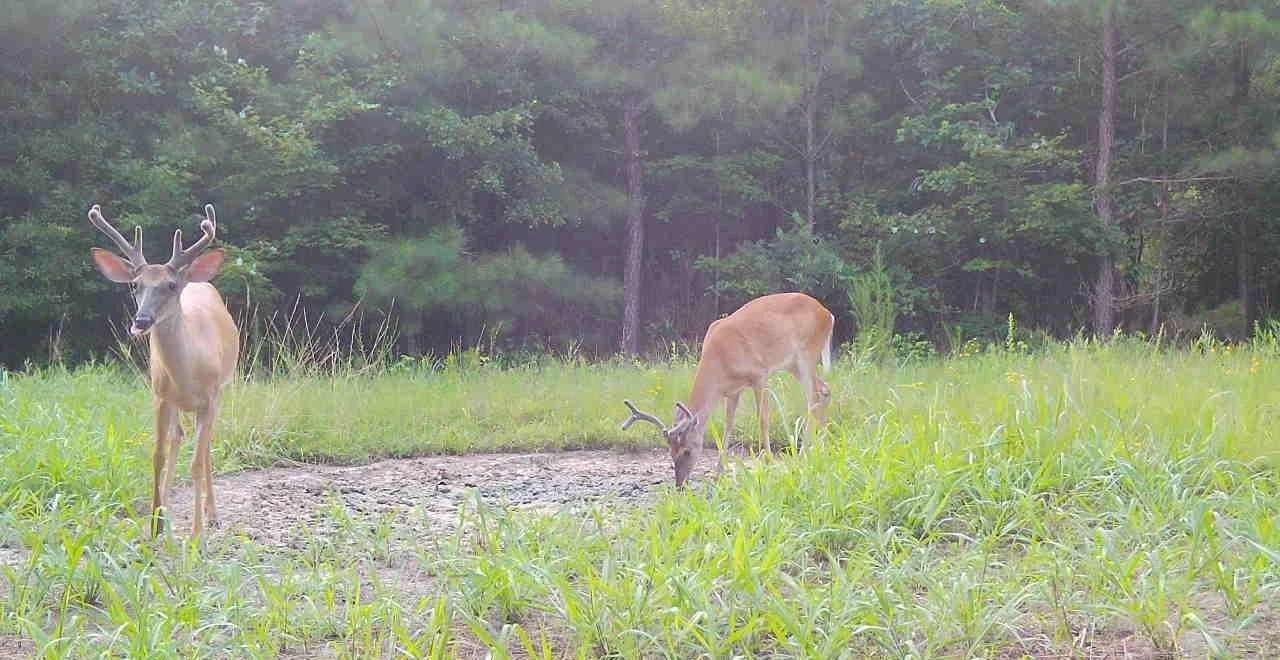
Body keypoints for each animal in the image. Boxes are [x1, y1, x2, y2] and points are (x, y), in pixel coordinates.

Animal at [88, 203, 238, 538]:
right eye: (135, 285)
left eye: (170, 285)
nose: (141, 321)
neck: (188, 374)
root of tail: (198, 279)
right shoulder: (160, 396)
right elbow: (158, 455)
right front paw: (154, 526)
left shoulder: (210, 397)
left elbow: (196, 462)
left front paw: (196, 535)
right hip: (177, 404)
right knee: (177, 438)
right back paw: (167, 508)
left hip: (222, 391)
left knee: (205, 448)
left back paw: (212, 514)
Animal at [621, 292, 835, 488]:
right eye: (671, 452)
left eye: (687, 451)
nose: (680, 485)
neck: (720, 359)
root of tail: (828, 314)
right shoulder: (732, 390)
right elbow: (728, 424)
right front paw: (718, 473)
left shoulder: (759, 375)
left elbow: (762, 419)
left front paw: (769, 463)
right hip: (793, 364)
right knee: (824, 390)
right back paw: (820, 450)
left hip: (807, 353)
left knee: (814, 397)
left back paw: (804, 454)